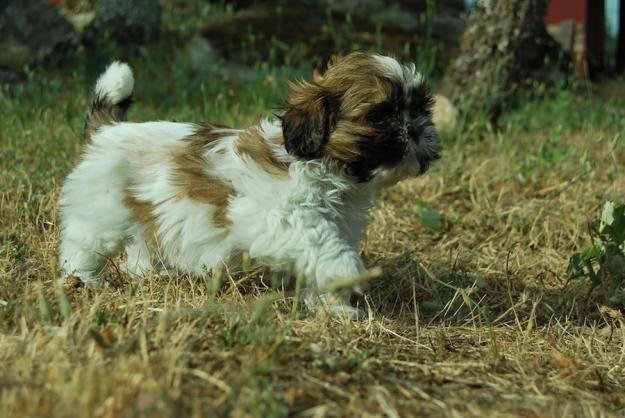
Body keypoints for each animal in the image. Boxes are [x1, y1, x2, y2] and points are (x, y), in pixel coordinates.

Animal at [58, 50, 438, 316]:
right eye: (379, 115)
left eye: (421, 108)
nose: (415, 129)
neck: (322, 164)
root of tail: (108, 130)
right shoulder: (280, 217)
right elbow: (322, 244)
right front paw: (348, 271)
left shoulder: (340, 221)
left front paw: (334, 307)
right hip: (103, 210)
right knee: (84, 243)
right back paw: (82, 279)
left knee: (143, 241)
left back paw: (149, 273)